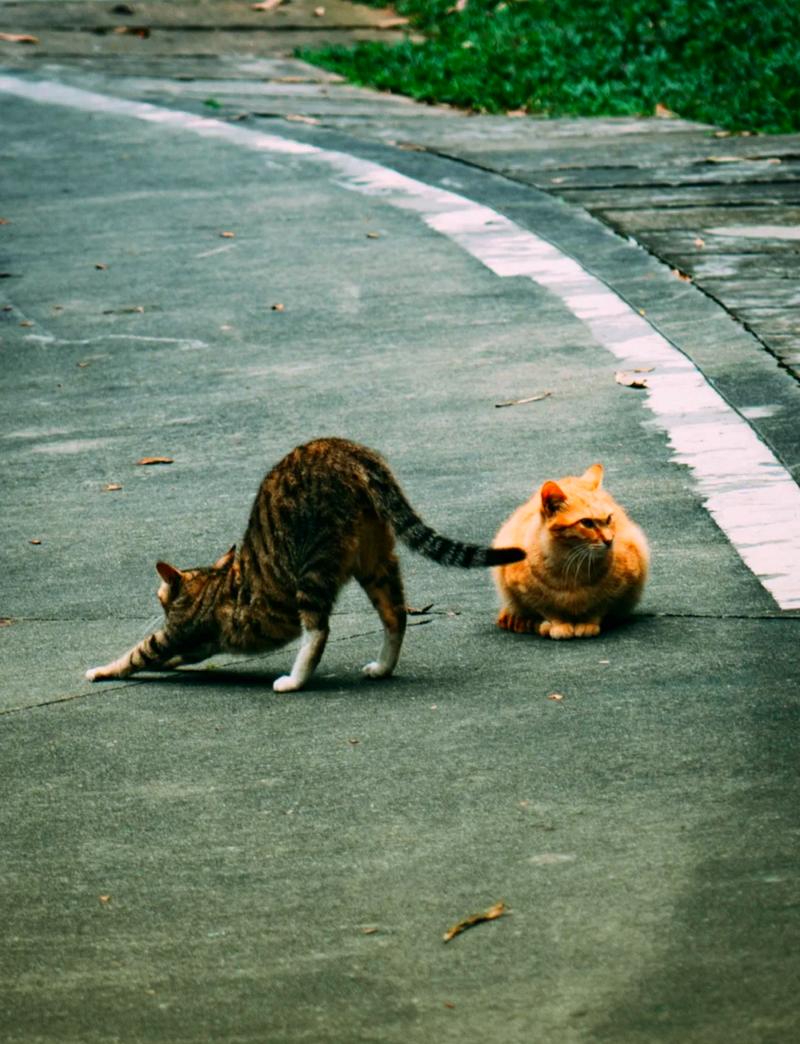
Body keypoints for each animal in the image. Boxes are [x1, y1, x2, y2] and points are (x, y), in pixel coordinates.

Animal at [86, 434, 526, 689]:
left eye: (159, 596)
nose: (158, 601)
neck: (210, 580)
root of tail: (344, 448)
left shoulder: (179, 629)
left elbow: (140, 651)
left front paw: (102, 670)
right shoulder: (199, 641)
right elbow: (179, 655)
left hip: (313, 562)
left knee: (318, 629)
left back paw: (295, 679)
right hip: (375, 559)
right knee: (395, 614)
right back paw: (383, 666)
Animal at [495, 463, 651, 634]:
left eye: (609, 519)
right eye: (587, 523)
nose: (610, 540)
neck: (572, 563)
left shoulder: (619, 587)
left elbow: (598, 607)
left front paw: (588, 623)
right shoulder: (527, 593)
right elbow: (550, 611)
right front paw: (559, 625)